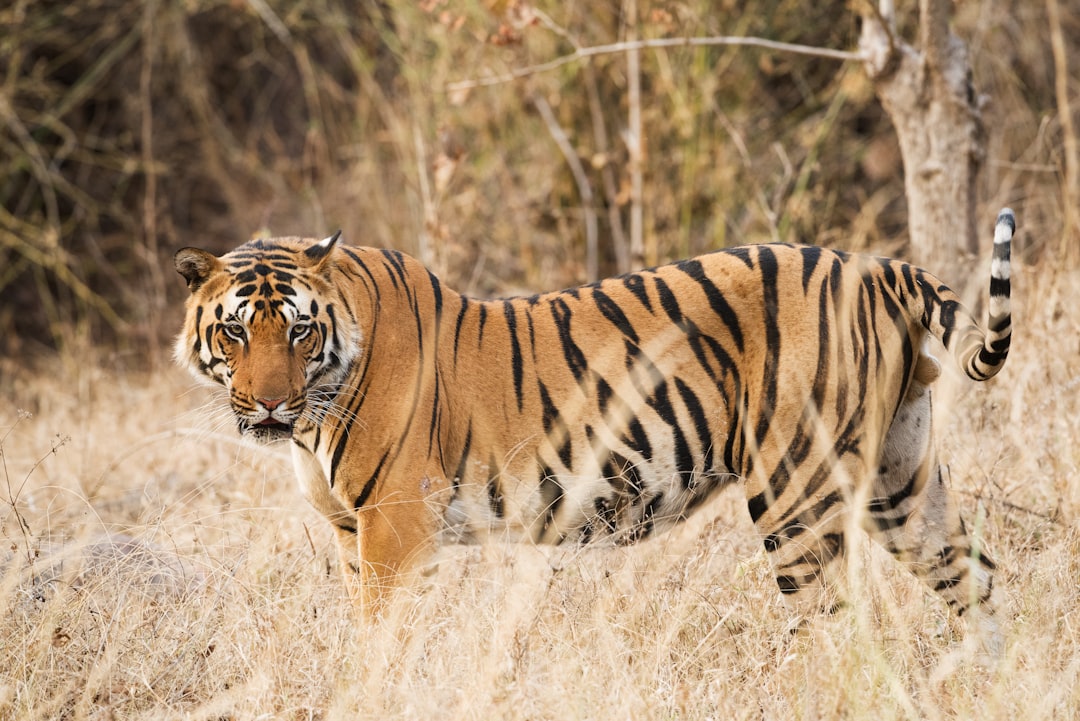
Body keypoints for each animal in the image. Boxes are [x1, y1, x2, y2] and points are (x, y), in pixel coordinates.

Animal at [172, 205, 1015, 638]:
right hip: (901, 478)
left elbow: (379, 642)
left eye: (299, 332)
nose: (270, 403)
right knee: (976, 579)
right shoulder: (352, 530)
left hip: (796, 492)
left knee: (837, 628)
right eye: (237, 332)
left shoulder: (394, 524)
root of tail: (877, 267)